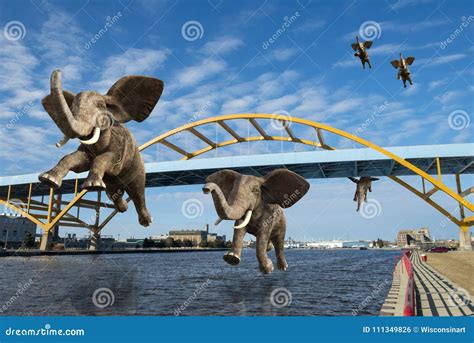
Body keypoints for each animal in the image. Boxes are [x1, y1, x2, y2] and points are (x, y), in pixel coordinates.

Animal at [37, 69, 164, 228]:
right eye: (72, 107)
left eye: (100, 105)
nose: (58, 71)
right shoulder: (86, 150)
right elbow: (75, 159)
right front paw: (48, 179)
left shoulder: (120, 147)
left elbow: (105, 159)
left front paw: (92, 185)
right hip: (113, 186)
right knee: (114, 193)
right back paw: (123, 206)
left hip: (138, 169)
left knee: (138, 192)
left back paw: (146, 221)